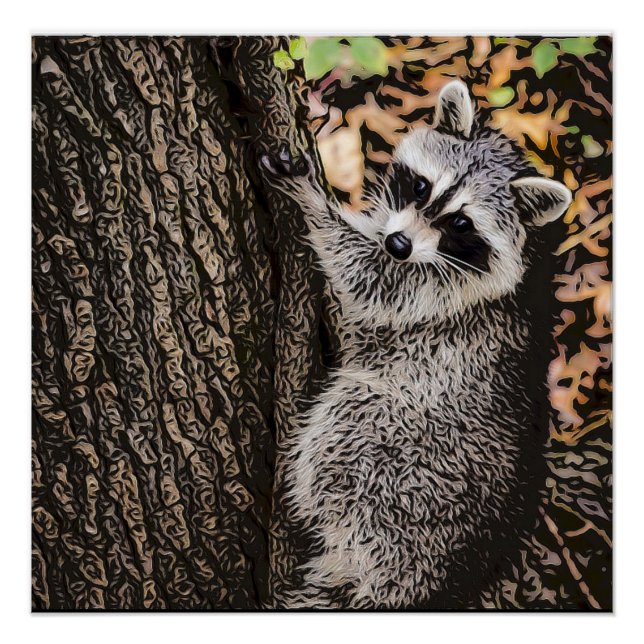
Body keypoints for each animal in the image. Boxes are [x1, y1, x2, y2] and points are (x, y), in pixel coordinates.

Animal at [261, 80, 572, 609]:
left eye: (462, 224)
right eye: (422, 186)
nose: (399, 245)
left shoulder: (444, 294)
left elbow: (369, 278)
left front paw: (316, 204)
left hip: (404, 467)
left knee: (350, 422)